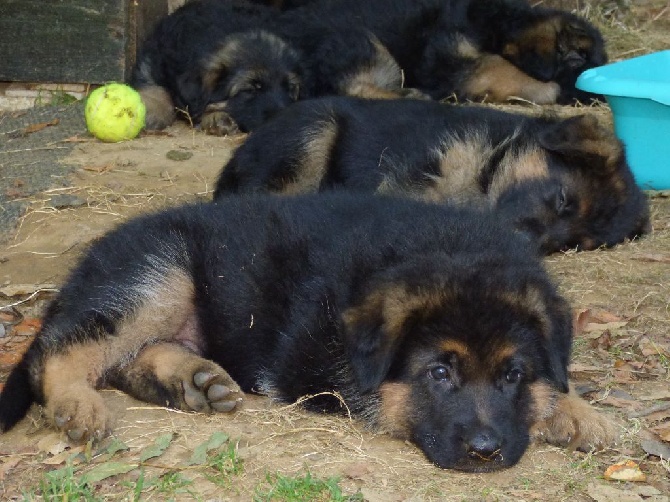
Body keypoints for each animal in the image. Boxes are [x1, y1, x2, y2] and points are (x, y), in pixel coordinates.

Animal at [0, 193, 620, 470]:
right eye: (440, 373)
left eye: (514, 374)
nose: (486, 453)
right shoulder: (319, 373)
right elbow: (377, 402)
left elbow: (554, 385)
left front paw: (576, 411)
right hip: (159, 274)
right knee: (60, 351)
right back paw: (77, 403)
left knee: (127, 357)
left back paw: (191, 380)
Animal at [129, 0, 302, 135]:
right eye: (250, 89)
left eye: (289, 88)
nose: (283, 120)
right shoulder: (153, 60)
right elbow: (155, 87)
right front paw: (149, 111)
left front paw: (216, 118)